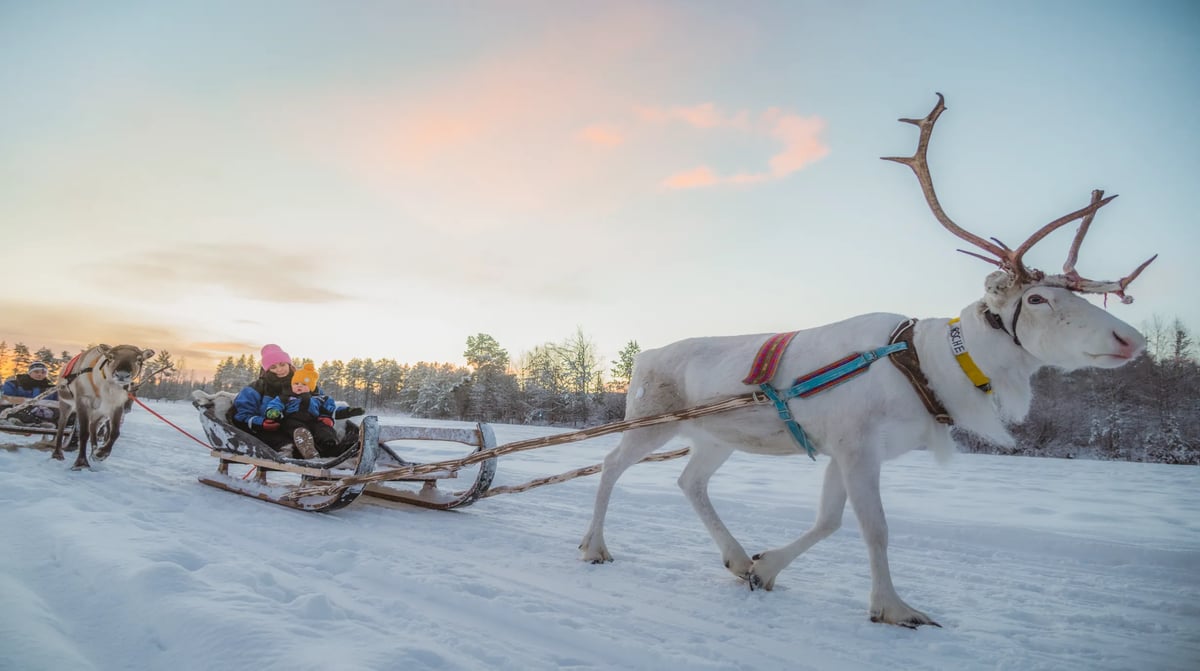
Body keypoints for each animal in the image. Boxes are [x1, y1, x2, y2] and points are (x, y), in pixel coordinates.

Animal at [578, 94, 1155, 628]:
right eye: (1036, 299)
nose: (1132, 339)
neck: (928, 365)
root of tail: (645, 355)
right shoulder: (856, 447)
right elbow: (874, 528)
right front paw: (894, 608)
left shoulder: (844, 451)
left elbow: (830, 521)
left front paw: (766, 567)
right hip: (651, 422)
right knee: (610, 464)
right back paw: (594, 546)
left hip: (716, 437)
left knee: (689, 482)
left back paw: (737, 558)